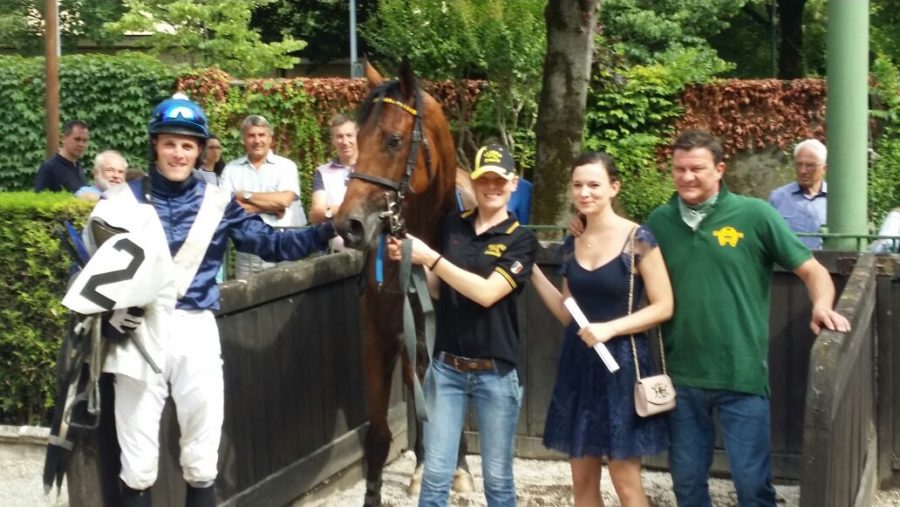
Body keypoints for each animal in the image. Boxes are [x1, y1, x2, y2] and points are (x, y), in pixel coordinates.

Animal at [336, 60, 478, 507]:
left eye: (394, 139)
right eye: (354, 139)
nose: (347, 225)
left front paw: (456, 470)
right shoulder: (378, 338)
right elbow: (379, 436)